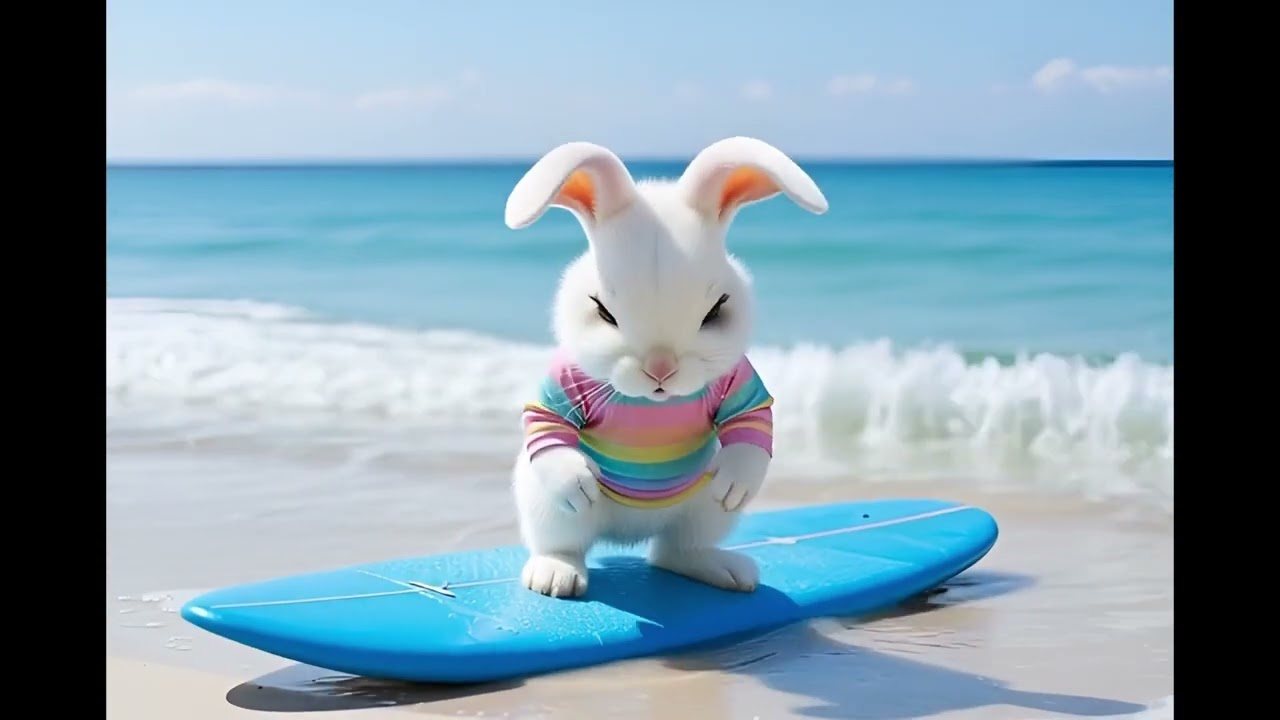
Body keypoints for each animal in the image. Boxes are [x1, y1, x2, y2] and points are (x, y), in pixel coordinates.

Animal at [503, 137, 828, 598]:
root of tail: (629, 536)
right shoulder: (560, 388)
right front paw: (579, 482)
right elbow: (546, 428)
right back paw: (555, 576)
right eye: (602, 311)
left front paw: (736, 483)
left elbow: (753, 428)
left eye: (716, 311)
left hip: (700, 515)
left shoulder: (744, 385)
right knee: (565, 544)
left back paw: (723, 569)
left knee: (674, 552)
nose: (661, 370)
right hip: (546, 508)